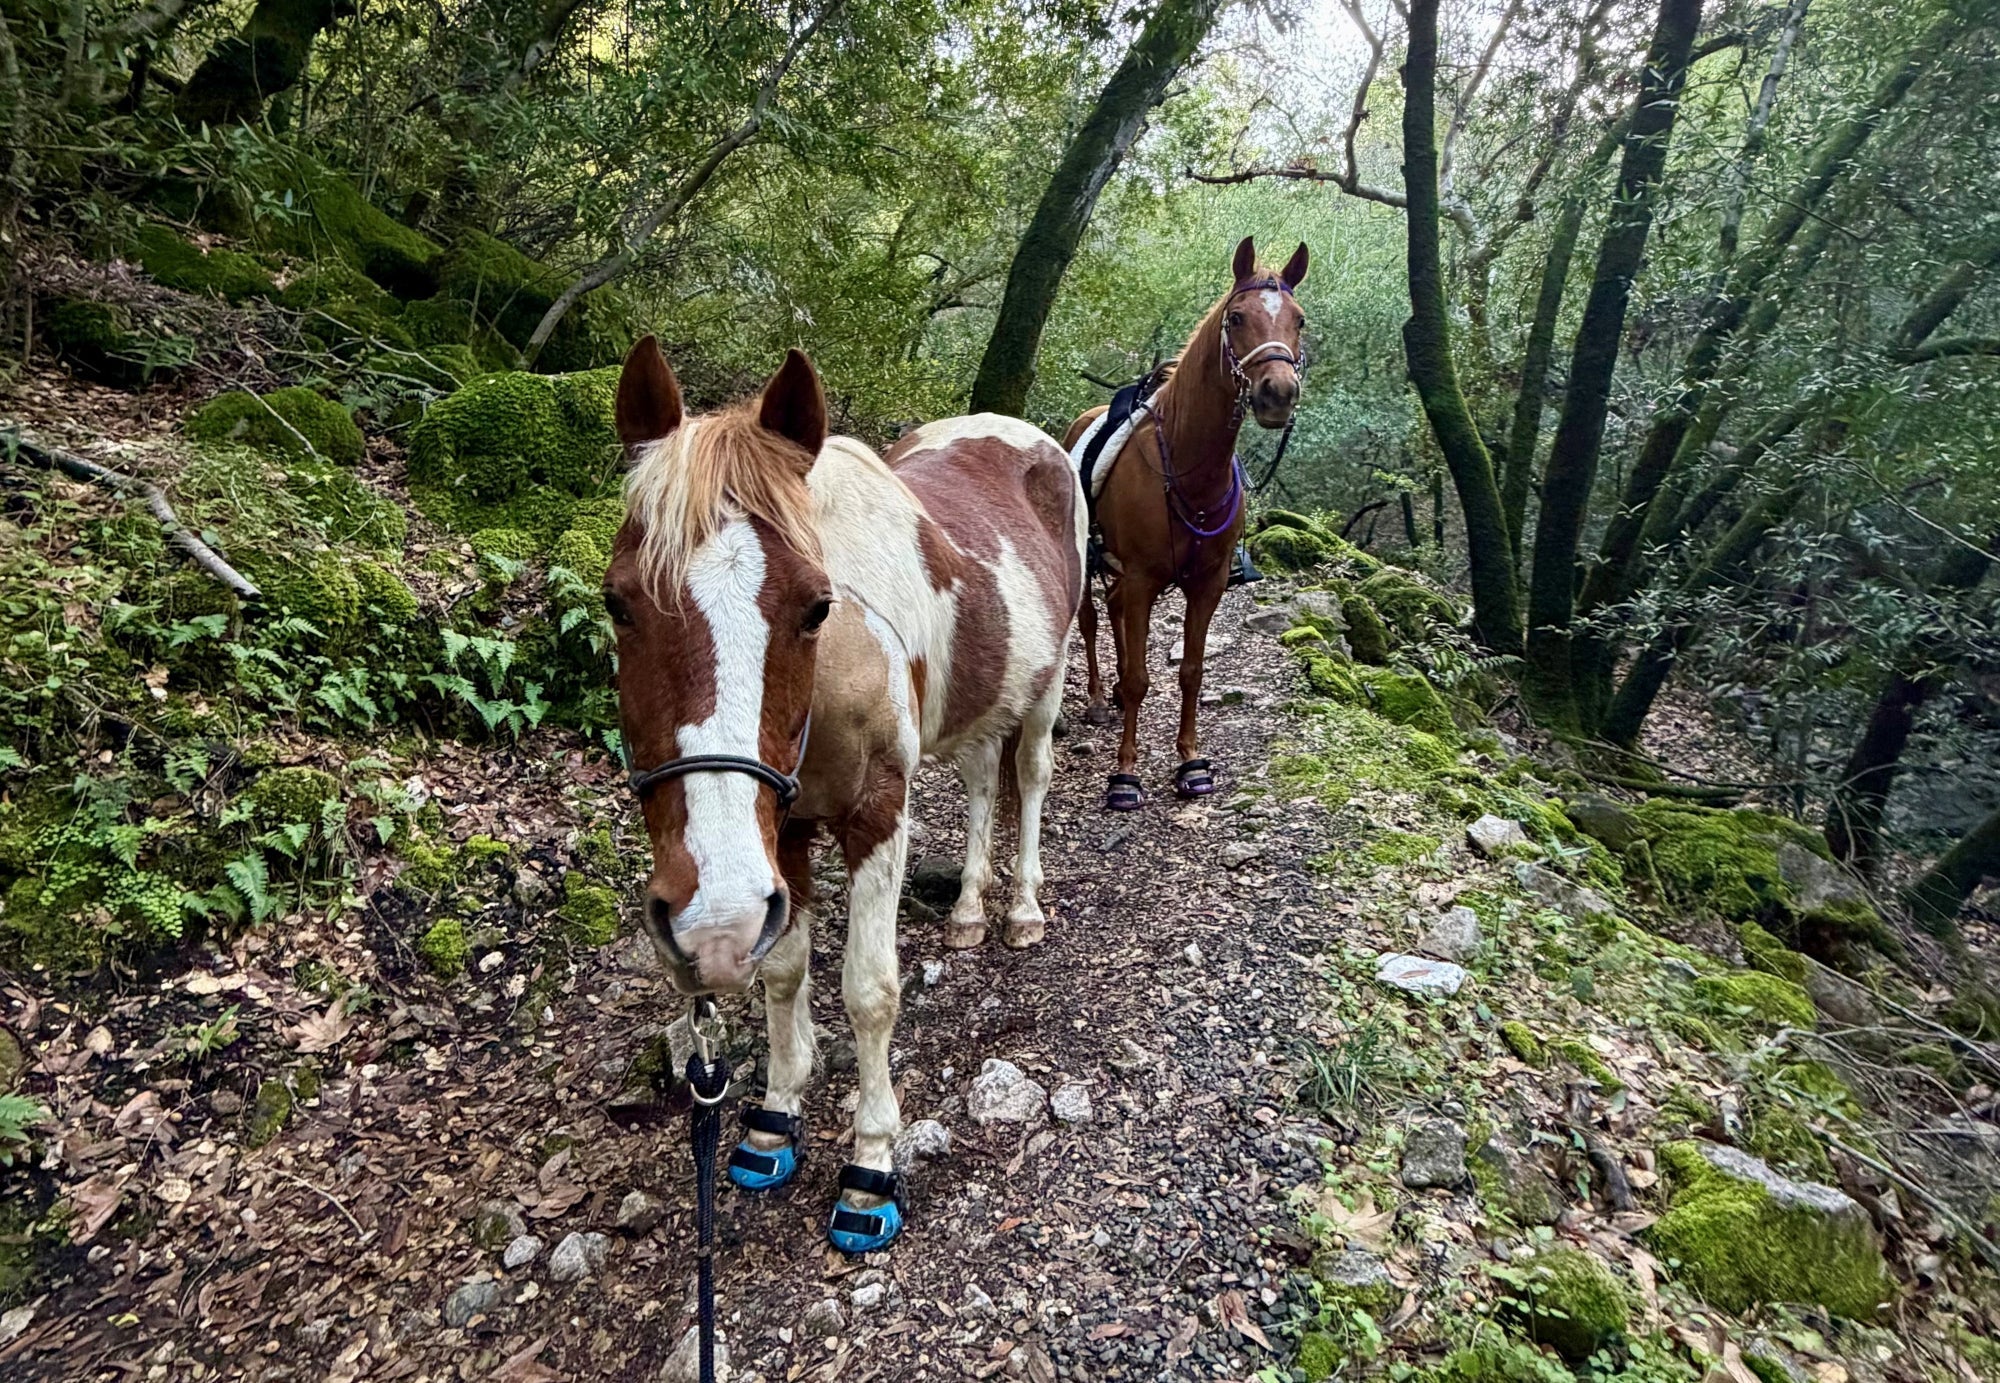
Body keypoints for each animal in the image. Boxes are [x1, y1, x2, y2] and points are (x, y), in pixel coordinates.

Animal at [603, 336, 1084, 1252]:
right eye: (617, 602)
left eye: (815, 606)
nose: (709, 918)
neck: (833, 679)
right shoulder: (781, 836)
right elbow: (784, 970)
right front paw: (775, 1116)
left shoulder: (876, 817)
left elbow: (869, 989)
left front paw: (870, 1164)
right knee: (981, 783)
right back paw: (968, 912)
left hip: (1046, 686)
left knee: (1032, 778)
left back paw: (1022, 911)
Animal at [1063, 236, 1308, 811]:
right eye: (1237, 318)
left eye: (1300, 320)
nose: (1278, 393)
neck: (1190, 468)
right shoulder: (1143, 580)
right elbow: (1138, 678)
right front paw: (1125, 775)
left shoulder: (1207, 584)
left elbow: (1192, 673)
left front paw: (1190, 763)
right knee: (1090, 619)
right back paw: (1097, 699)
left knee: (1113, 612)